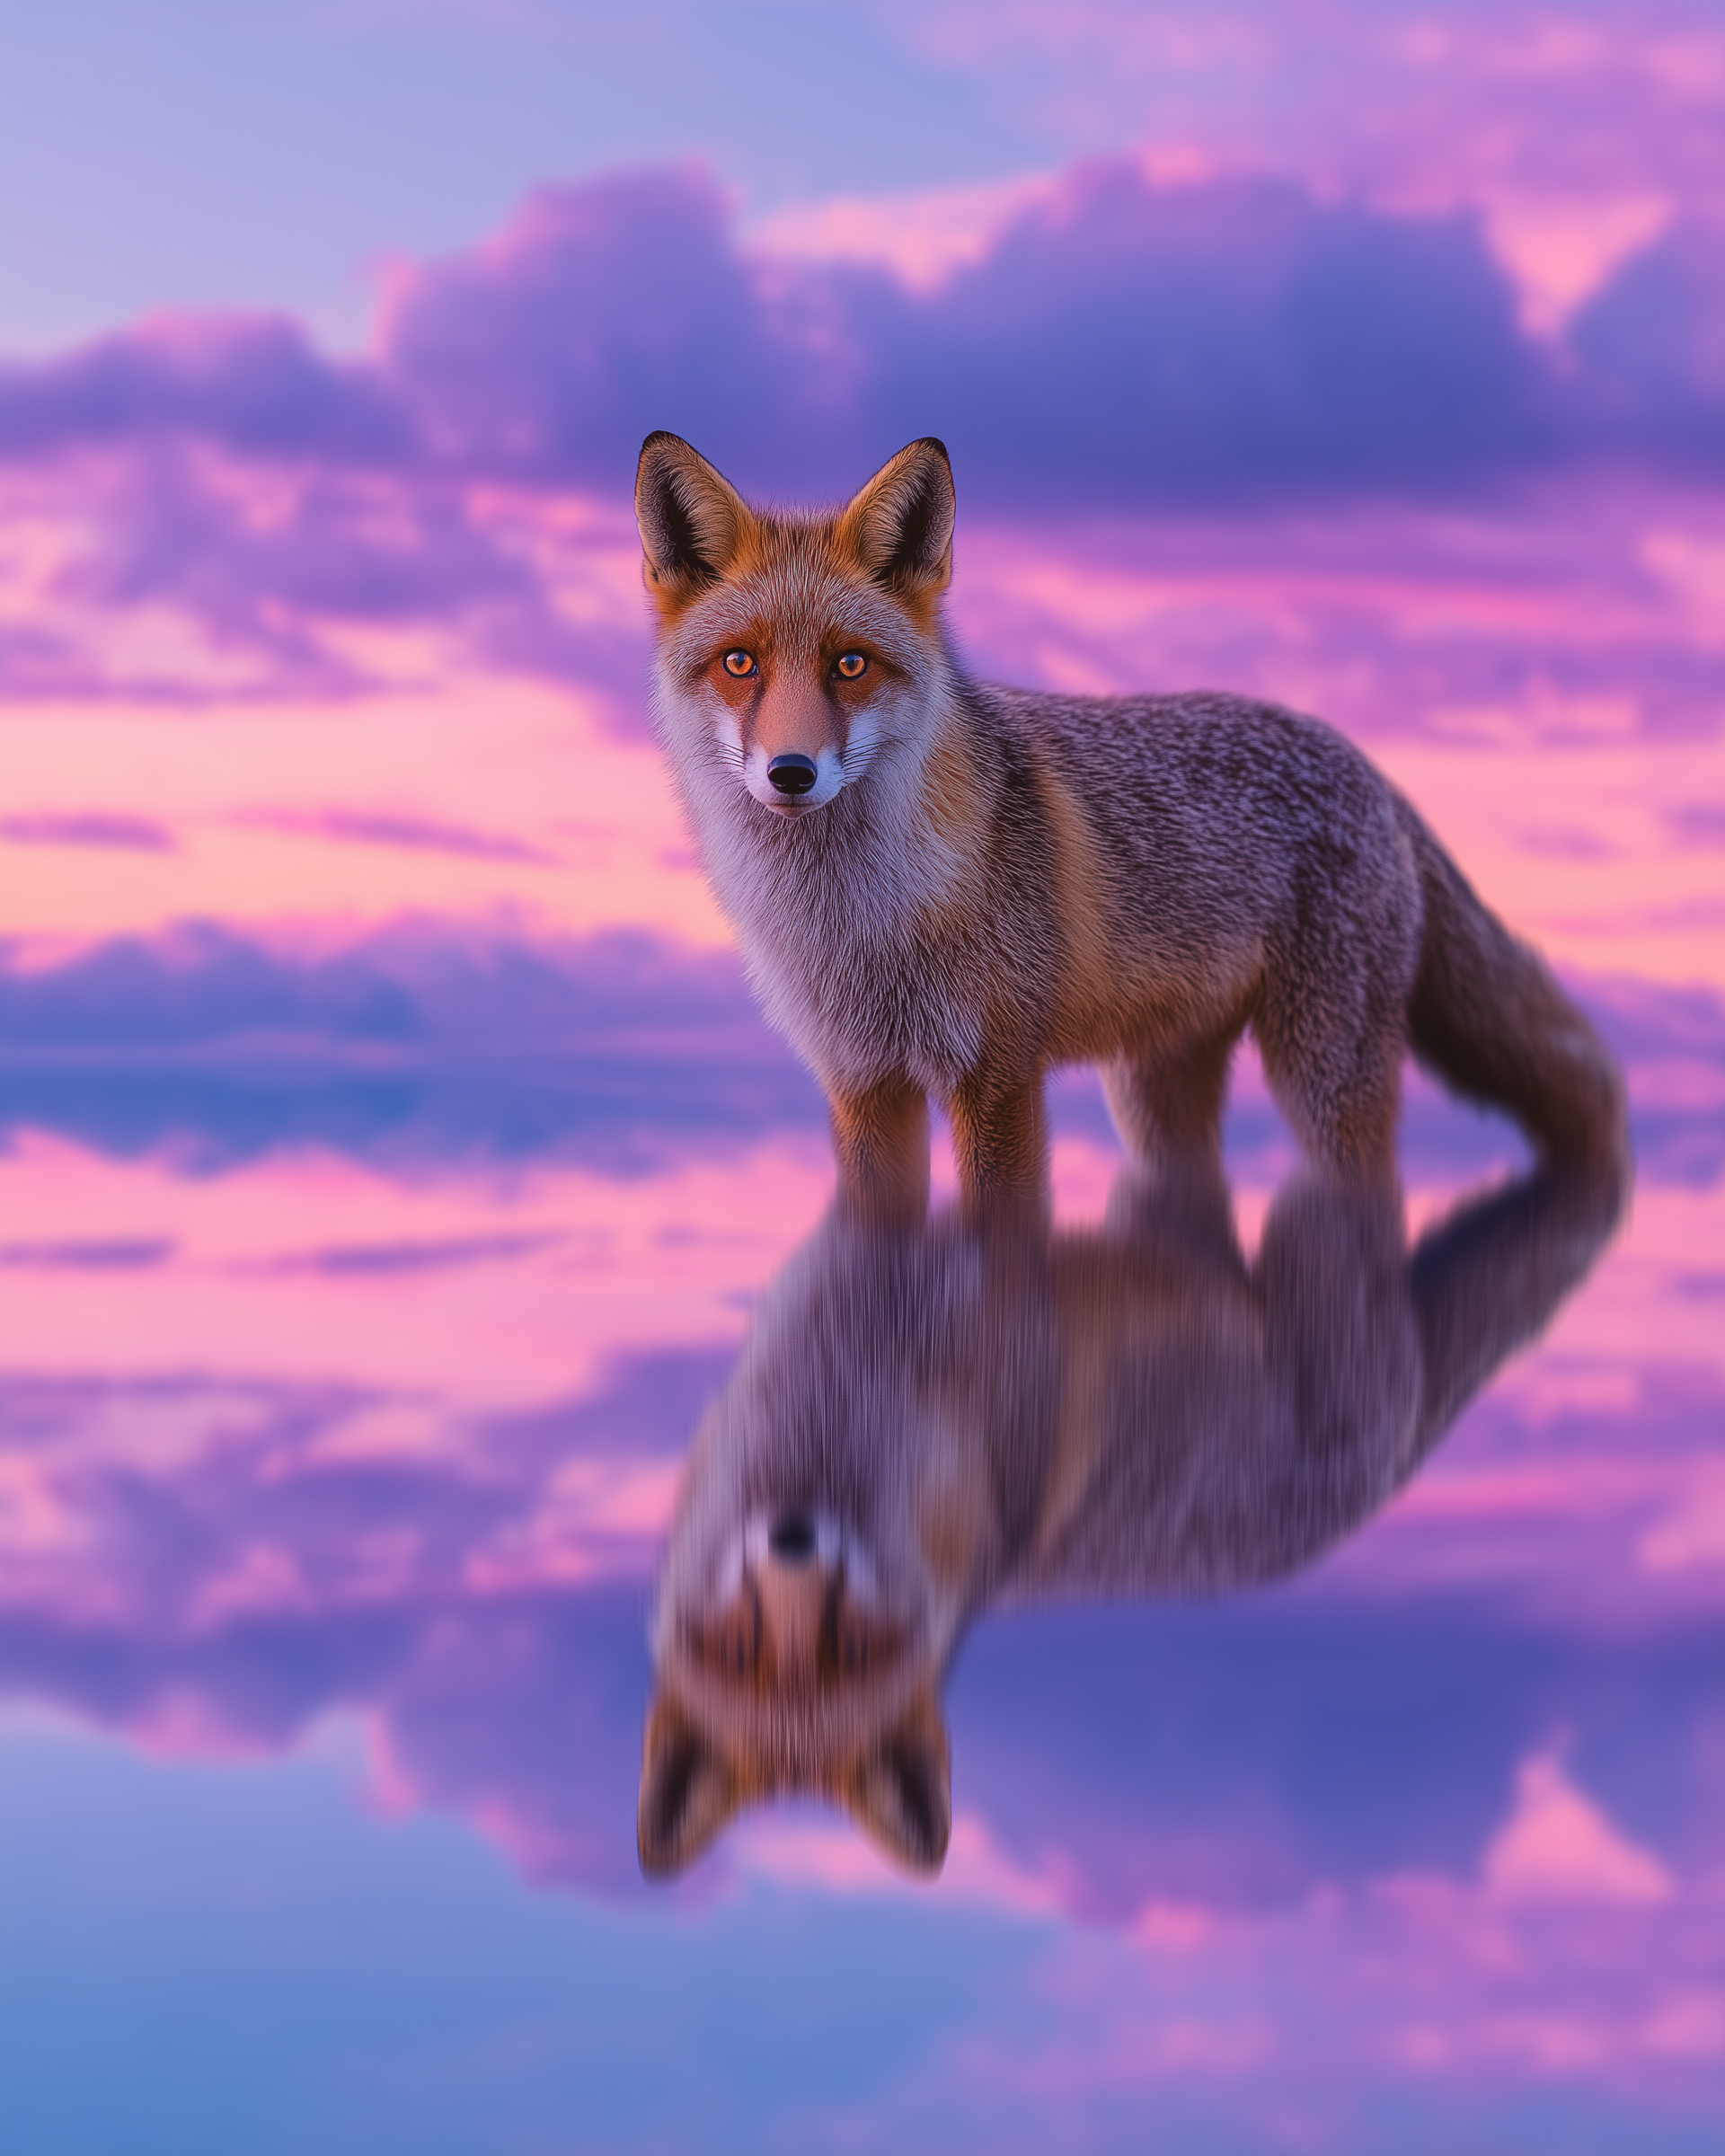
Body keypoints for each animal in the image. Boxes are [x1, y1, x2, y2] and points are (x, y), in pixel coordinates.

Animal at [635, 432, 1627, 1217]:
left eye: (850, 664)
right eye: (740, 663)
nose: (791, 773)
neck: (858, 925)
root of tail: (1367, 764)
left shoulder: (997, 1073)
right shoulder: (861, 1083)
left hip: (1322, 1079)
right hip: (1154, 1097)